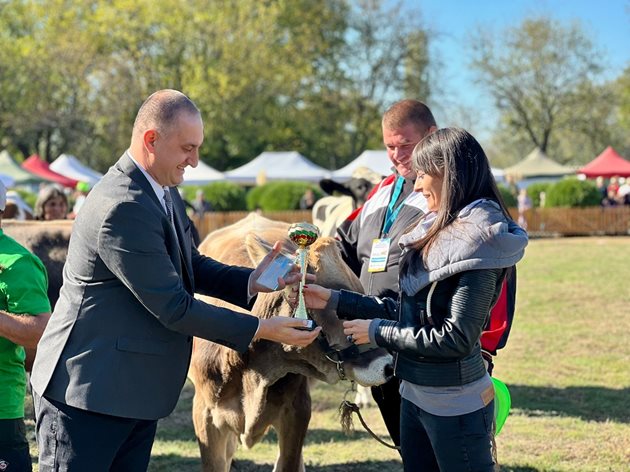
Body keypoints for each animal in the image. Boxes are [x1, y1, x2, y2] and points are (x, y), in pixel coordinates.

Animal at [190, 214, 392, 472]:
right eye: (340, 310)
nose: (387, 366)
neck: (253, 373)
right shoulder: (205, 414)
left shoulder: (298, 410)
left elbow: (288, 462)